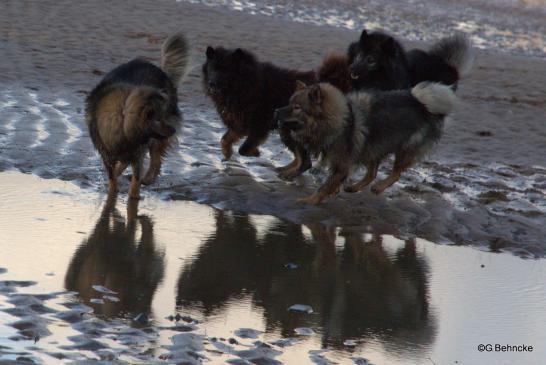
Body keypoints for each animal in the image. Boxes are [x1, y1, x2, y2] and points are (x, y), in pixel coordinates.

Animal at [274, 80, 456, 203]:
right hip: (373, 147)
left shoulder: (342, 163)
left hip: (404, 149)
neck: (339, 122)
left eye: (297, 108)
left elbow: (325, 185)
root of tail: (424, 105)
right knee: (372, 173)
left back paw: (379, 187)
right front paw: (333, 191)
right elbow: (334, 181)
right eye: (289, 103)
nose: (276, 111)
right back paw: (354, 187)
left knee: (395, 173)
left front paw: (311, 200)